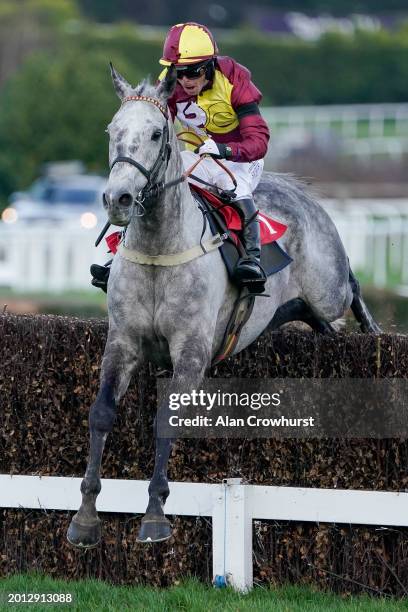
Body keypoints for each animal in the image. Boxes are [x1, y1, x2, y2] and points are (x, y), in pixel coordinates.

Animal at [66, 64, 380, 548]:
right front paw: (84, 518)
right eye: (112, 131)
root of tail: (300, 193)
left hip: (329, 289)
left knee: (352, 287)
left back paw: (374, 331)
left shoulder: (192, 350)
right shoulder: (122, 341)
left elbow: (166, 421)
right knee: (316, 320)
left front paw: (155, 515)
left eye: (156, 133)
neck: (160, 248)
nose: (118, 200)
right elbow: (100, 414)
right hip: (301, 308)